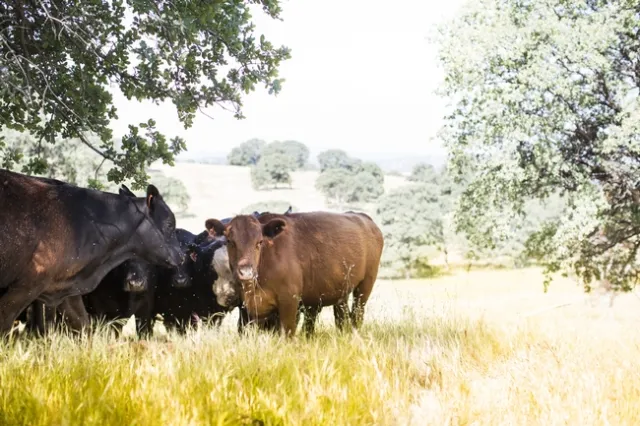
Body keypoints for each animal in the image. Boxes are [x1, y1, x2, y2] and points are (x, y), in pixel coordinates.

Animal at [0, 169, 183, 335]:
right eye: (169, 224)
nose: (181, 256)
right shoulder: (27, 285)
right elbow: (5, 323)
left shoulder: (64, 287)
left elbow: (83, 324)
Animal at [218, 211, 384, 337]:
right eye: (229, 241)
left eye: (259, 242)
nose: (246, 271)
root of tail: (362, 216)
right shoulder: (247, 308)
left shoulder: (289, 301)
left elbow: (287, 333)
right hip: (341, 292)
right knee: (340, 318)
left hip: (365, 286)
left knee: (357, 314)